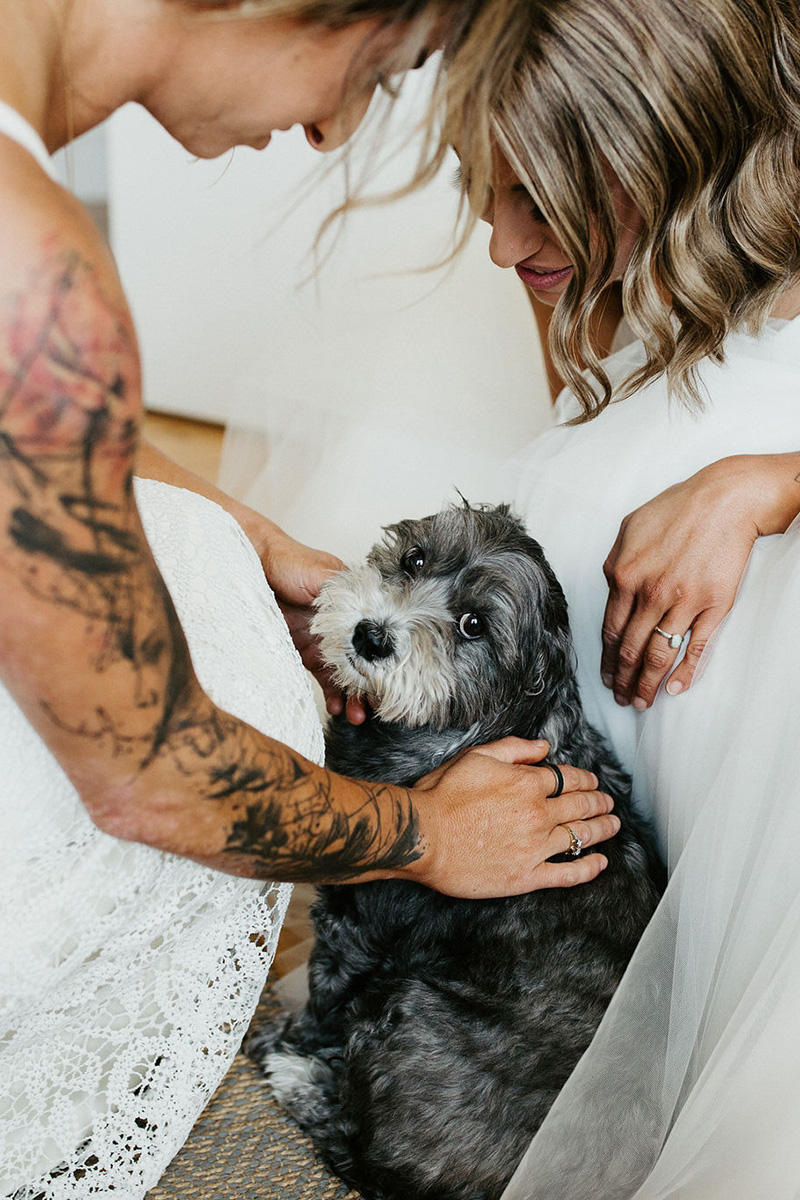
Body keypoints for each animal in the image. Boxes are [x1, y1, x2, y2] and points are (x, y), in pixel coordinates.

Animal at [250, 501, 662, 1195]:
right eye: (415, 557)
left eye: (473, 625)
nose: (372, 636)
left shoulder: (355, 928)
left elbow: (323, 1001)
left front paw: (288, 1040)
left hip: (409, 1010)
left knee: (359, 1148)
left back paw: (303, 1082)